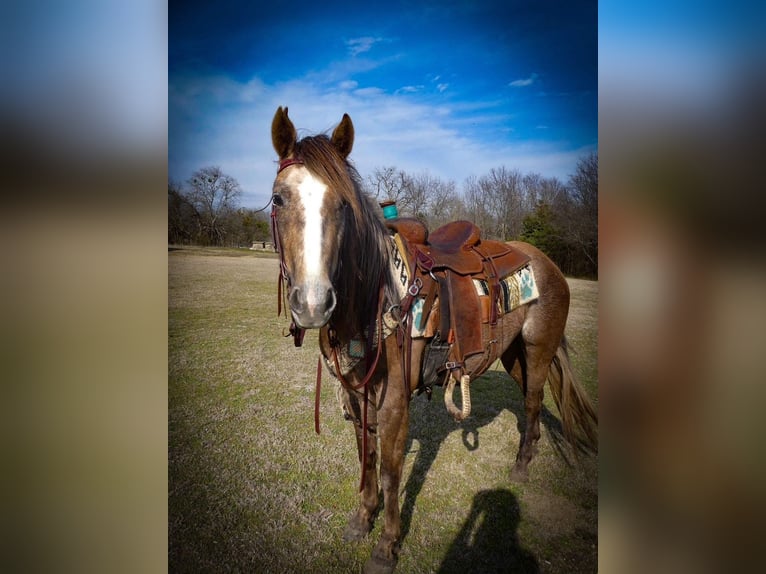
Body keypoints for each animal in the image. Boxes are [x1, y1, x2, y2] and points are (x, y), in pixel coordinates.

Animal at [269, 107, 597, 574]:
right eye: (279, 199)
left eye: (343, 205)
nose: (313, 302)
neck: (375, 296)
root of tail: (545, 262)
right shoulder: (356, 394)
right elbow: (366, 455)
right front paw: (361, 519)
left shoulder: (393, 402)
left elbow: (391, 471)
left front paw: (387, 545)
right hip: (512, 355)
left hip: (538, 350)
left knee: (534, 402)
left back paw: (520, 468)